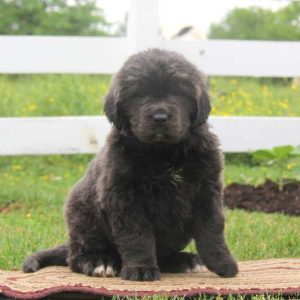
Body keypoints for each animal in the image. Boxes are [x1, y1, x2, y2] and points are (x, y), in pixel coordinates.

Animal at [22, 48, 239, 282]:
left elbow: (212, 229)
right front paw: (141, 269)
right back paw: (100, 262)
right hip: (83, 216)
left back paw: (185, 260)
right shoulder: (124, 197)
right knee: (77, 256)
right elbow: (137, 236)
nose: (160, 117)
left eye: (178, 92)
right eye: (140, 94)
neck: (164, 154)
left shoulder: (207, 190)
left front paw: (223, 263)